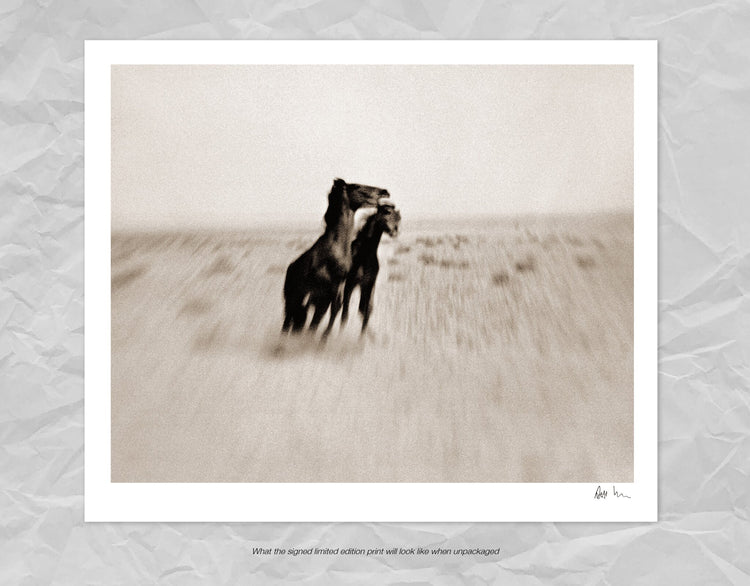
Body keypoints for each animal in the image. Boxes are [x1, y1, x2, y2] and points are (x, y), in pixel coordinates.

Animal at [282, 178, 389, 337]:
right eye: (356, 186)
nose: (384, 192)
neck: (337, 248)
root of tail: (290, 268)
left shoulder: (335, 287)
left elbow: (334, 310)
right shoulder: (328, 288)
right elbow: (333, 310)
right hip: (293, 297)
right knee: (290, 321)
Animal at [341, 199, 401, 334]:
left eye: (398, 216)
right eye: (387, 212)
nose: (395, 231)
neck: (364, 256)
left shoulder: (368, 284)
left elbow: (366, 310)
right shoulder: (350, 284)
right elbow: (345, 314)